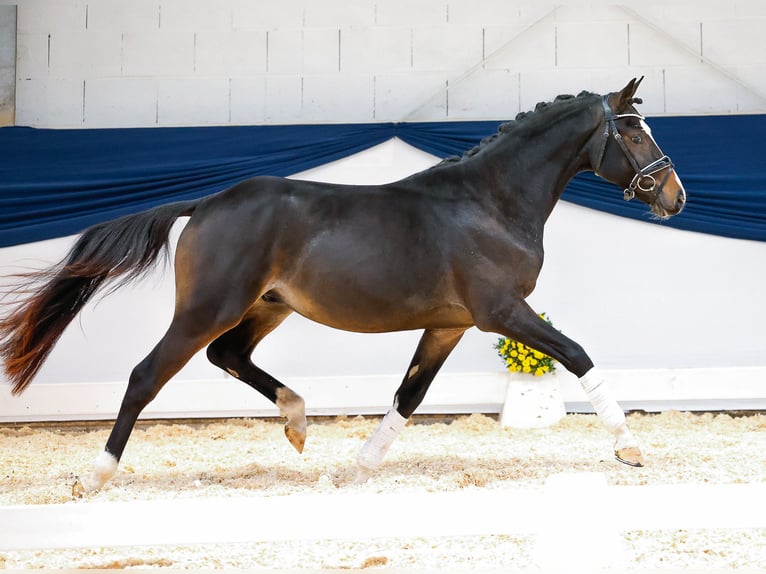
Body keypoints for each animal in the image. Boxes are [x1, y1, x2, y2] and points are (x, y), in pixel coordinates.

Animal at [0, 79, 684, 498]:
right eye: (634, 133)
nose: (676, 197)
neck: (488, 203)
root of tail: (207, 202)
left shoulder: (450, 324)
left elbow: (410, 393)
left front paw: (361, 466)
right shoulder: (500, 312)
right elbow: (578, 356)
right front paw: (630, 450)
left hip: (265, 308)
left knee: (229, 355)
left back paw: (298, 421)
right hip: (207, 308)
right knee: (148, 375)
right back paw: (93, 478)